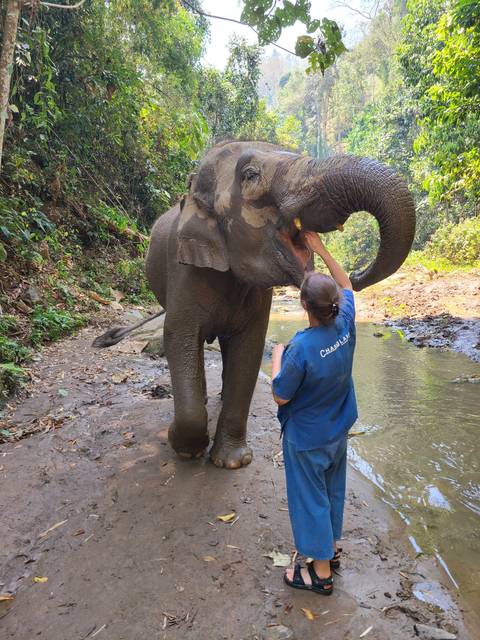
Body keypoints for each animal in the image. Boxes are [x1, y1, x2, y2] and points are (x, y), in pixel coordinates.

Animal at [94, 140, 416, 469]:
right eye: (250, 175)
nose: (354, 277)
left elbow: (248, 347)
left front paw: (233, 462)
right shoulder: (183, 268)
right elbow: (179, 337)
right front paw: (185, 448)